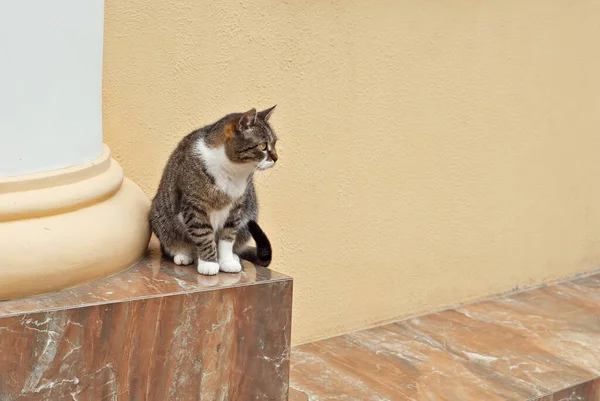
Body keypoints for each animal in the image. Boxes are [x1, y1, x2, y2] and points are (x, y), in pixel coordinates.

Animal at [151, 105, 280, 276]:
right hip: (160, 217)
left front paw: (226, 262)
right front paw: (209, 263)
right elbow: (203, 235)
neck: (232, 171)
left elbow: (227, 237)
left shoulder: (235, 208)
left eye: (275, 143)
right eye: (263, 146)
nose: (276, 158)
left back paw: (234, 256)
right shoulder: (194, 205)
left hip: (249, 215)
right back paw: (183, 254)